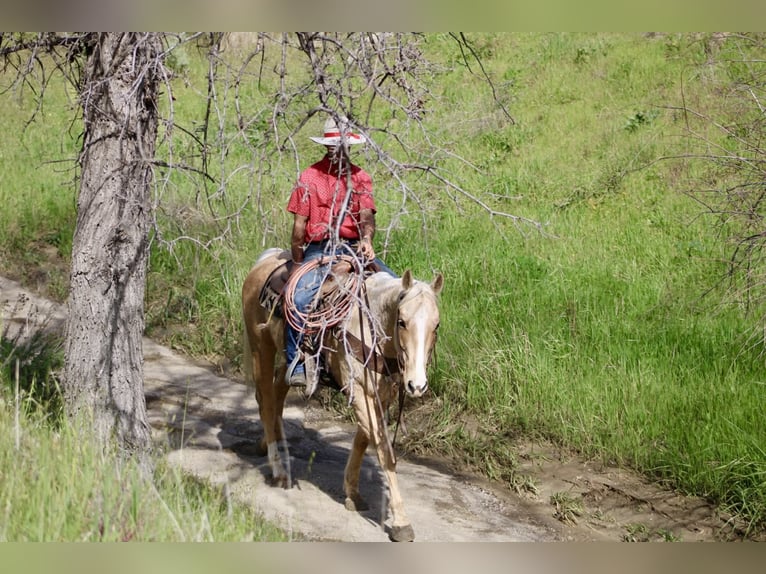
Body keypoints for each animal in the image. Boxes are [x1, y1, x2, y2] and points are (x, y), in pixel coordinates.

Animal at [241, 247, 443, 542]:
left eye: (436, 325)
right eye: (402, 322)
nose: (416, 385)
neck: (370, 325)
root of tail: (266, 259)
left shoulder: (381, 394)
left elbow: (364, 439)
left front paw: (352, 492)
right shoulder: (356, 389)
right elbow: (383, 449)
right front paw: (401, 522)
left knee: (278, 388)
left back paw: (268, 443)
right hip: (260, 348)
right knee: (266, 400)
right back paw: (278, 469)